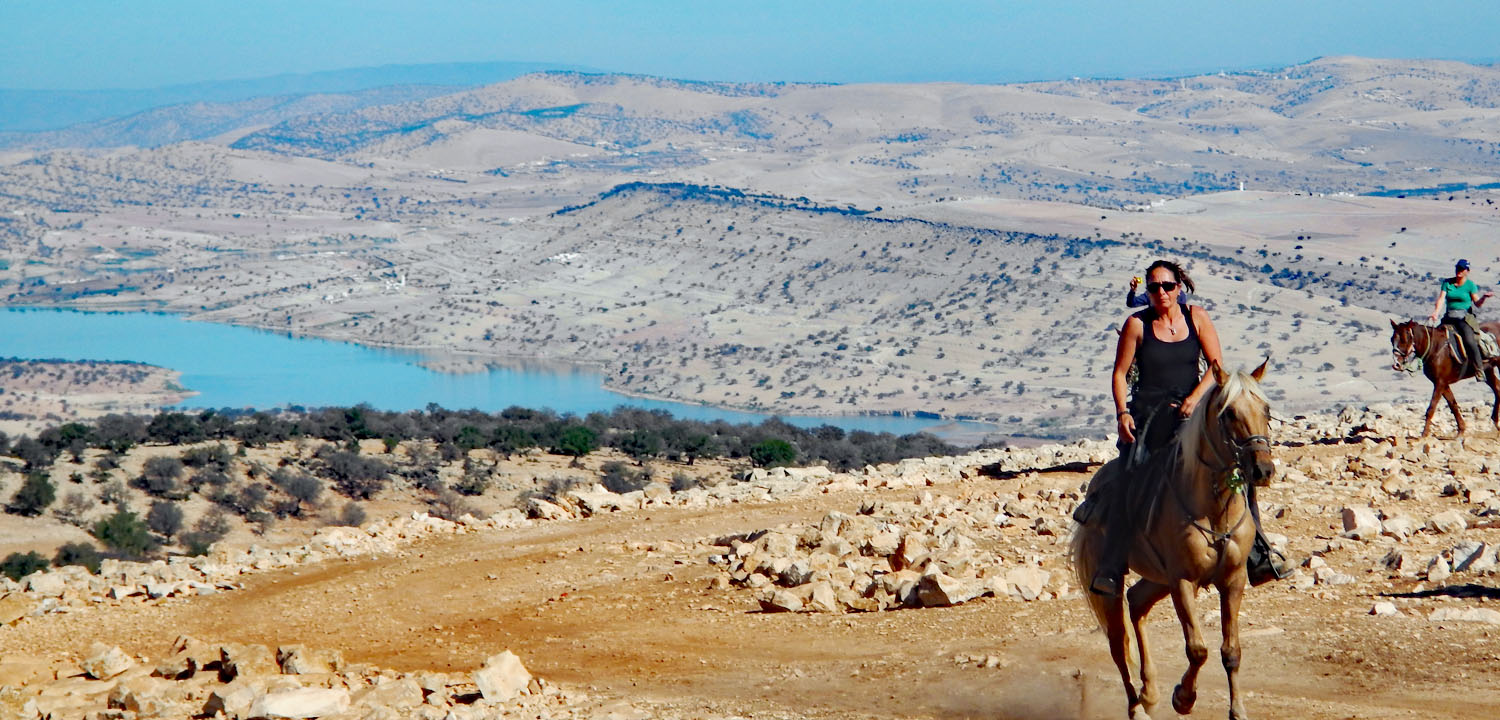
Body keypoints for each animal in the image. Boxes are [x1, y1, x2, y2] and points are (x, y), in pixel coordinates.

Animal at [1071, 360, 1274, 720]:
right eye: (1229, 413)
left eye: (1266, 410)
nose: (1263, 469)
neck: (1213, 508)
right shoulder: (1182, 581)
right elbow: (1197, 649)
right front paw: (1183, 698)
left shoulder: (1233, 580)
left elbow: (1231, 650)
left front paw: (1237, 710)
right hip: (1113, 579)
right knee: (1118, 643)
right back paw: (1137, 707)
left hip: (1157, 577)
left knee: (1137, 601)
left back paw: (1149, 692)